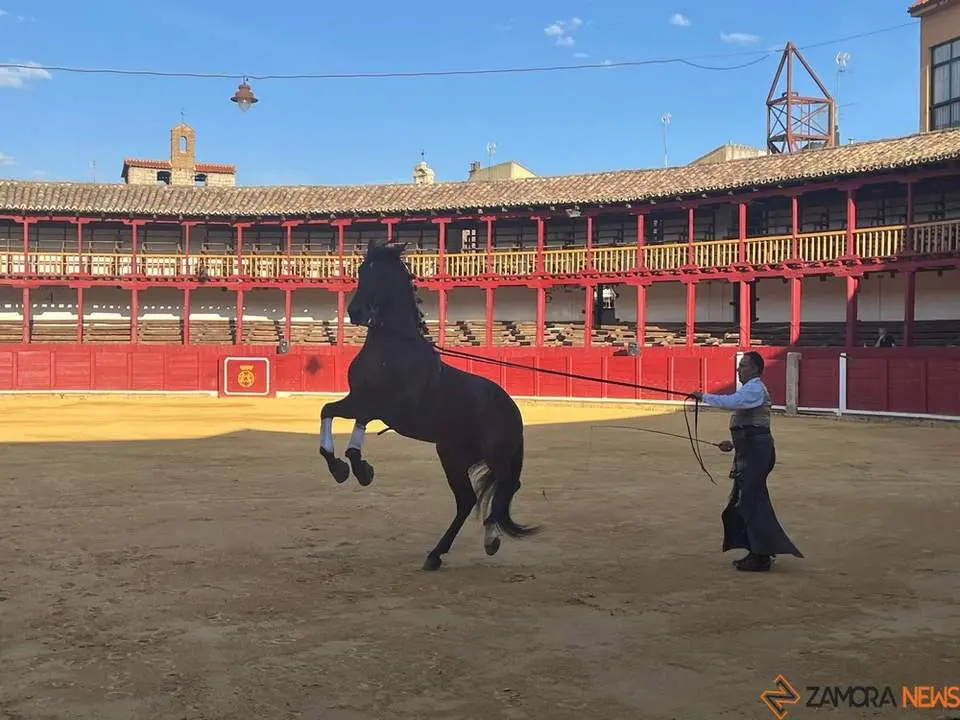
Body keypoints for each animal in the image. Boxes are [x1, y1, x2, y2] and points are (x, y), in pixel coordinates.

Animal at [317, 239, 539, 570]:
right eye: (361, 271)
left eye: (381, 275)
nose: (355, 312)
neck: (392, 347)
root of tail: (511, 407)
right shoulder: (358, 398)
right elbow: (328, 411)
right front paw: (339, 467)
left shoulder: (391, 408)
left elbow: (361, 419)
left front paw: (359, 466)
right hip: (452, 455)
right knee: (468, 499)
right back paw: (436, 555)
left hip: (496, 454)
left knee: (507, 486)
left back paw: (490, 539)